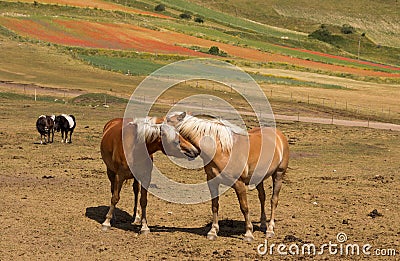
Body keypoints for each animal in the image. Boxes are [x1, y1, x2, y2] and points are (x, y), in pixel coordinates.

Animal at [167, 112, 290, 241]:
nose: (193, 153)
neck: (221, 151)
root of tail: (279, 135)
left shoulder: (239, 184)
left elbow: (244, 207)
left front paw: (248, 233)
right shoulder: (212, 182)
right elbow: (215, 205)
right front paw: (213, 231)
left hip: (278, 175)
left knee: (273, 200)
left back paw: (270, 229)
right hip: (258, 178)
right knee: (262, 197)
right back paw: (262, 224)